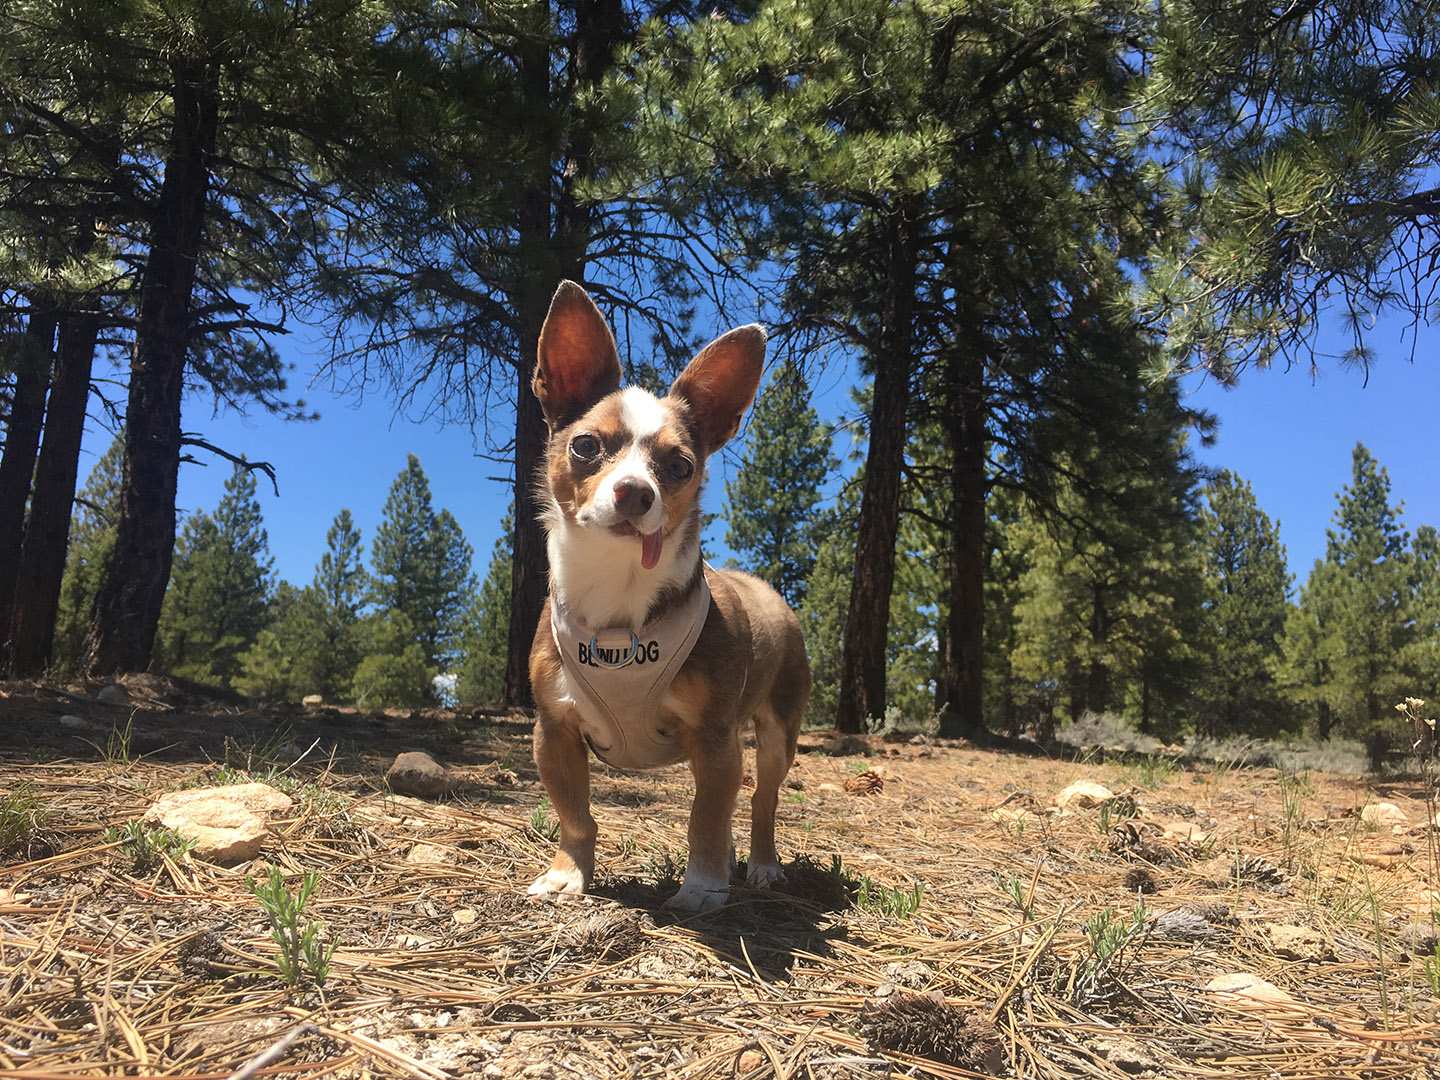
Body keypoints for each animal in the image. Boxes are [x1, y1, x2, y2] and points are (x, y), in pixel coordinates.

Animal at [524, 279, 812, 915]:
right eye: (585, 446)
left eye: (679, 466)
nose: (635, 491)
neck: (618, 600)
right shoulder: (553, 732)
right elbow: (575, 814)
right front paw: (568, 875)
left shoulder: (716, 738)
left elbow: (705, 818)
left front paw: (702, 886)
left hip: (777, 731)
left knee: (761, 801)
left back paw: (761, 866)